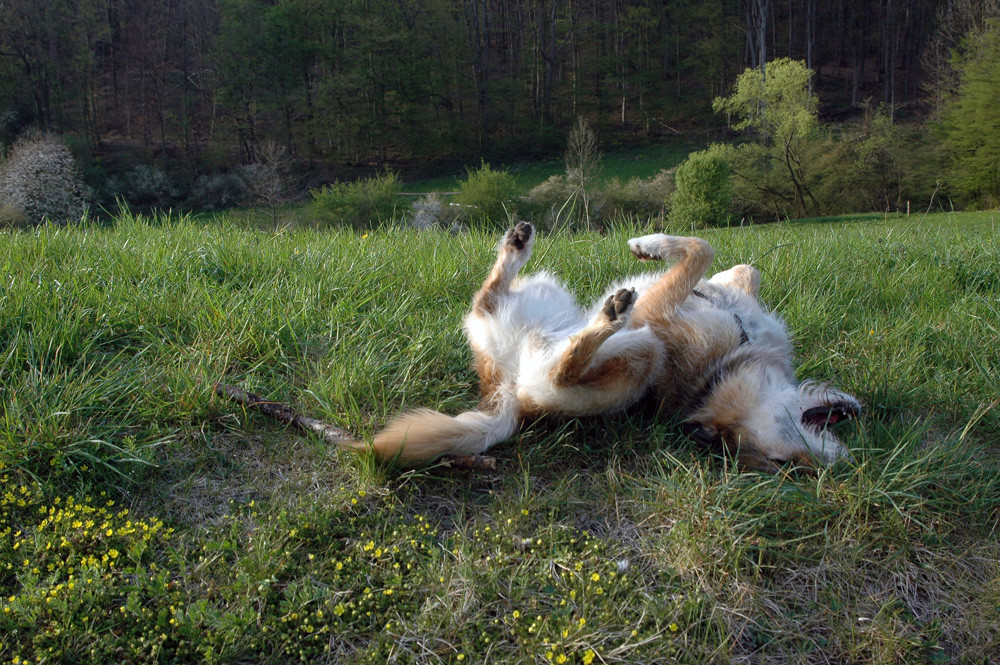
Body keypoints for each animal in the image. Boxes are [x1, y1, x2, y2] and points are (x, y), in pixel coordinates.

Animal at [362, 220, 860, 470]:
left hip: (639, 352)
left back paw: (606, 316)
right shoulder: (702, 294)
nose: (838, 465)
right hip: (546, 295)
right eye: (787, 460)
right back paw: (520, 248)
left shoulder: (658, 316)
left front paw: (654, 247)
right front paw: (651, 244)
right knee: (487, 299)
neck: (729, 363)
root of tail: (504, 389)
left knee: (560, 364)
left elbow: (706, 253)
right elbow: (716, 255)